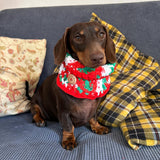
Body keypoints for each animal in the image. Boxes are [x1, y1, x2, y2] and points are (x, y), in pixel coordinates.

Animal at [30, 21, 116, 150]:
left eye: (101, 34)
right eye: (78, 37)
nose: (98, 58)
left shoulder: (95, 108)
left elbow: (93, 117)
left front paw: (97, 127)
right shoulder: (64, 111)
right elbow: (68, 126)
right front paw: (69, 140)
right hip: (35, 103)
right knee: (35, 112)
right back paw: (39, 120)